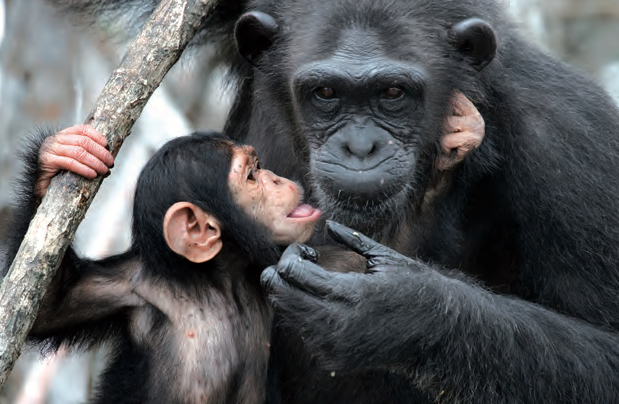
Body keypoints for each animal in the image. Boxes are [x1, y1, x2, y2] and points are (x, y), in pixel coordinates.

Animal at [6, 129, 324, 404]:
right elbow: (51, 306)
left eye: (259, 168)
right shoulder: (128, 286)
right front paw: (60, 155)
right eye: (252, 175)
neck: (218, 280)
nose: (276, 179)